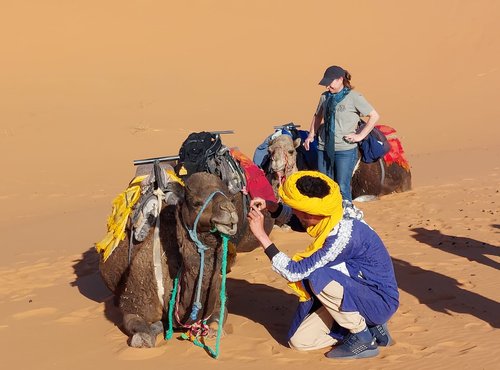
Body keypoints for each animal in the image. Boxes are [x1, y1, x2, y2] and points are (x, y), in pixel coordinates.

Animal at [97, 169, 240, 348]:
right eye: (196, 202)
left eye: (230, 197)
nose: (230, 210)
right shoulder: (134, 304)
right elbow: (143, 333)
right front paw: (147, 334)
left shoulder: (220, 300)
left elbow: (215, 323)